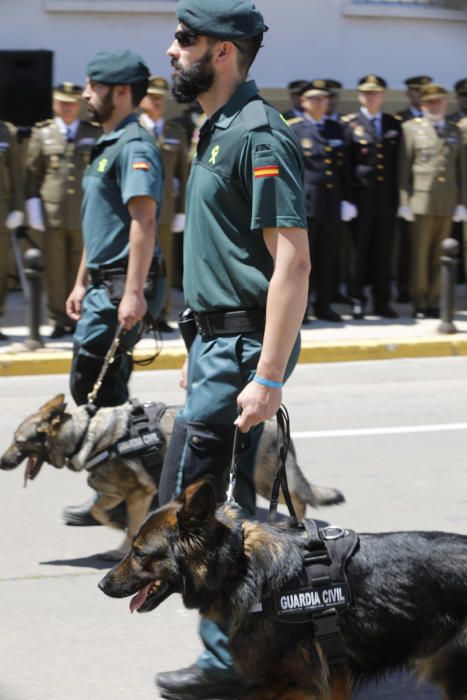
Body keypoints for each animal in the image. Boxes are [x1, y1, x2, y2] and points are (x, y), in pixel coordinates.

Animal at [0, 396, 344, 560]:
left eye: (18, 441)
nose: (2, 462)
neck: (84, 433)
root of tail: (270, 419)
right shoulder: (117, 491)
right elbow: (100, 507)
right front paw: (113, 523)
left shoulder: (140, 492)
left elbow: (129, 523)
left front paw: (120, 545)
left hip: (263, 477)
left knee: (297, 498)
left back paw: (292, 526)